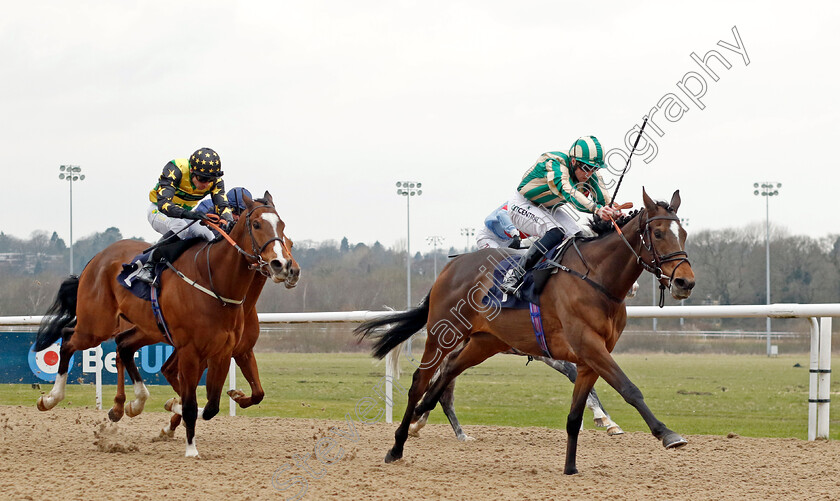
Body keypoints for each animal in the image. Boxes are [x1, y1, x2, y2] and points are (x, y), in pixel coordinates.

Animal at [36, 192, 298, 458]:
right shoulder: (190, 351)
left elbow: (216, 405)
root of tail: (98, 257)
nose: (284, 266)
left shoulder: (227, 352)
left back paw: (133, 403)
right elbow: (190, 402)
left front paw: (187, 409)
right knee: (68, 339)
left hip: (146, 328)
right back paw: (51, 398)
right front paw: (190, 447)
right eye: (256, 224)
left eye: (283, 228)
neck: (216, 283)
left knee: (123, 346)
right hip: (96, 325)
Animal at [358, 188, 692, 472]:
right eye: (658, 233)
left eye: (685, 234)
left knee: (448, 373)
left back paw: (423, 415)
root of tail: (449, 268)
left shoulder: (590, 356)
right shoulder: (587, 346)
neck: (596, 279)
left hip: (484, 342)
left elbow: (575, 414)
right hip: (444, 334)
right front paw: (667, 434)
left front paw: (571, 467)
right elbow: (629, 389)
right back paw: (397, 445)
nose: (685, 282)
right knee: (420, 381)